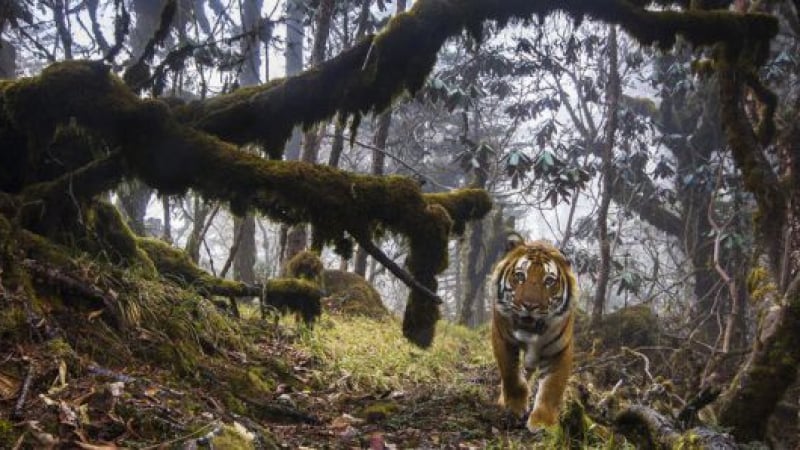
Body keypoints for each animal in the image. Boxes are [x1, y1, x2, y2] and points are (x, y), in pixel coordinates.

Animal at [488, 234, 576, 430]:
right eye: (520, 276)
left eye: (549, 281)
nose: (530, 305)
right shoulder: (502, 337)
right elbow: (511, 375)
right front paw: (515, 406)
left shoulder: (559, 350)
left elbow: (552, 387)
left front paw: (543, 422)